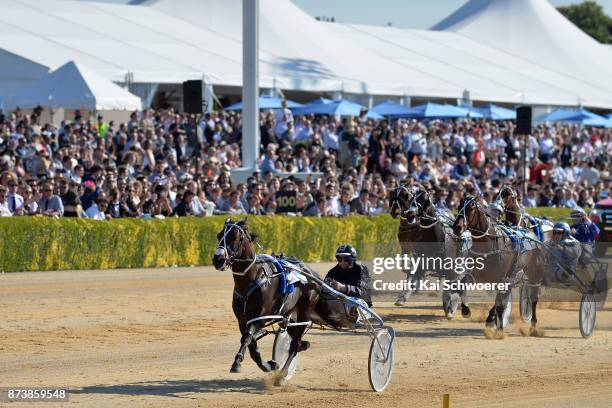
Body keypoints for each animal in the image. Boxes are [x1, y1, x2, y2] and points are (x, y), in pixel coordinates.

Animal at [215, 220, 356, 376]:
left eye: (234, 236)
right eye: (219, 235)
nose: (218, 259)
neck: (253, 278)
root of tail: (313, 275)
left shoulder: (261, 317)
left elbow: (247, 337)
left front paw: (238, 362)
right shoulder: (242, 319)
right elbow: (250, 342)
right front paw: (269, 364)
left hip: (304, 312)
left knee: (295, 345)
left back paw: (282, 374)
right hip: (289, 314)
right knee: (295, 340)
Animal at [450, 195, 544, 332]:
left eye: (471, 208)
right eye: (459, 207)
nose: (457, 227)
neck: (488, 243)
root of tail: (533, 235)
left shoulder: (501, 278)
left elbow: (499, 304)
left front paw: (499, 327)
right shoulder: (477, 274)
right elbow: (462, 284)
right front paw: (465, 310)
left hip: (533, 273)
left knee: (533, 295)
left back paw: (533, 323)